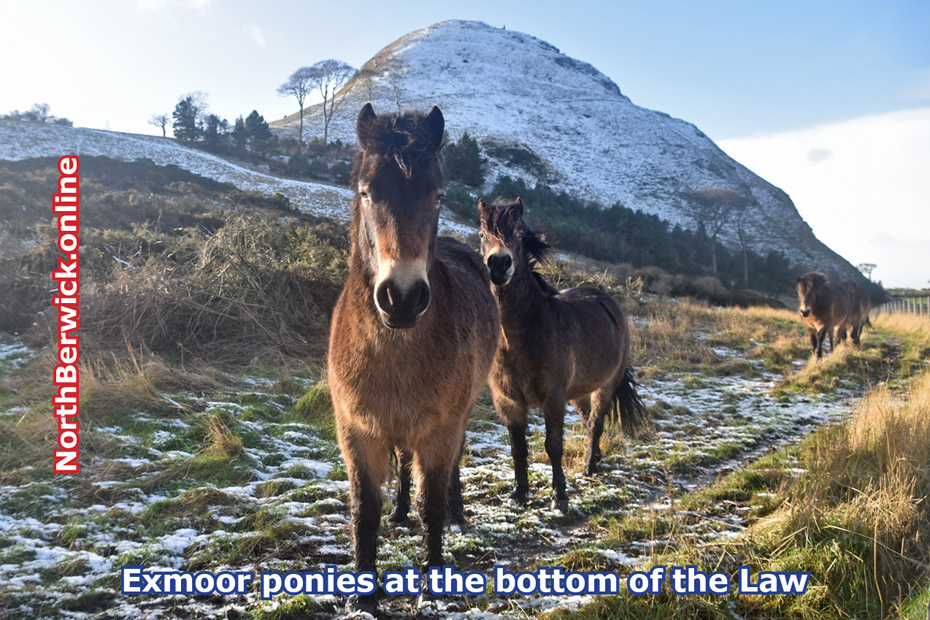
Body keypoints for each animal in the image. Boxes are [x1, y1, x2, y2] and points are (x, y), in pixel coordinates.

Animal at [327, 104, 499, 614]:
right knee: (403, 463)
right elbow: (365, 510)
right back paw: (399, 513)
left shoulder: (439, 431)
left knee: (452, 465)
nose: (401, 298)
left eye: (438, 195)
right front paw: (364, 598)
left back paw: (458, 512)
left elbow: (433, 502)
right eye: (367, 192)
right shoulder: (357, 433)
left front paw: (433, 582)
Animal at [477, 197, 646, 513]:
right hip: (579, 392)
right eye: (482, 234)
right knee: (590, 421)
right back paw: (596, 461)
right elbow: (518, 449)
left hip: (606, 385)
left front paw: (560, 496)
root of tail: (607, 301)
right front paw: (519, 494)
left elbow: (553, 446)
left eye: (519, 235)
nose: (499, 263)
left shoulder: (553, 398)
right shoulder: (508, 402)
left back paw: (590, 467)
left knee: (597, 423)